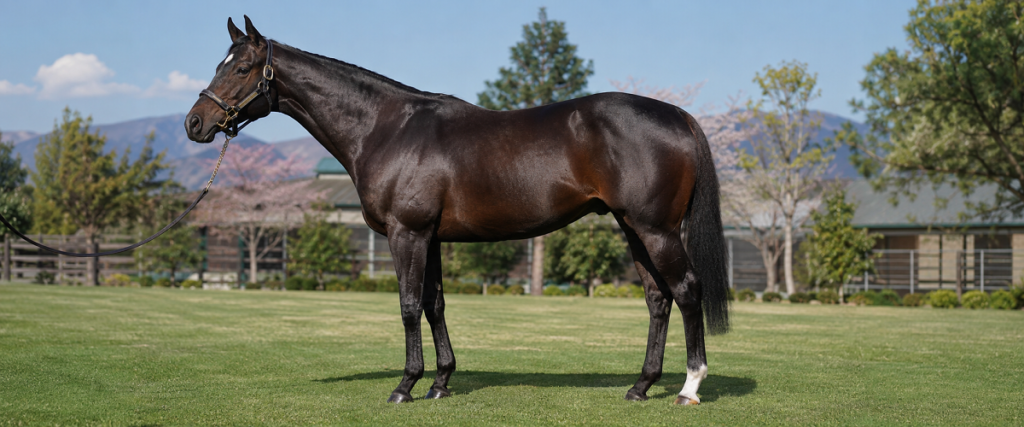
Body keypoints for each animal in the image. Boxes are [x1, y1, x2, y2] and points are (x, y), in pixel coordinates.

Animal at [186, 16, 730, 405]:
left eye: (240, 68)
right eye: (219, 64)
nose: (195, 123)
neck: (386, 128)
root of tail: (678, 115)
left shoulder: (406, 233)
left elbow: (408, 306)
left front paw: (405, 386)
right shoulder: (430, 237)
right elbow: (435, 305)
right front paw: (441, 382)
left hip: (657, 230)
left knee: (686, 291)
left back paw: (689, 388)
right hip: (633, 228)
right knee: (658, 300)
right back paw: (640, 386)